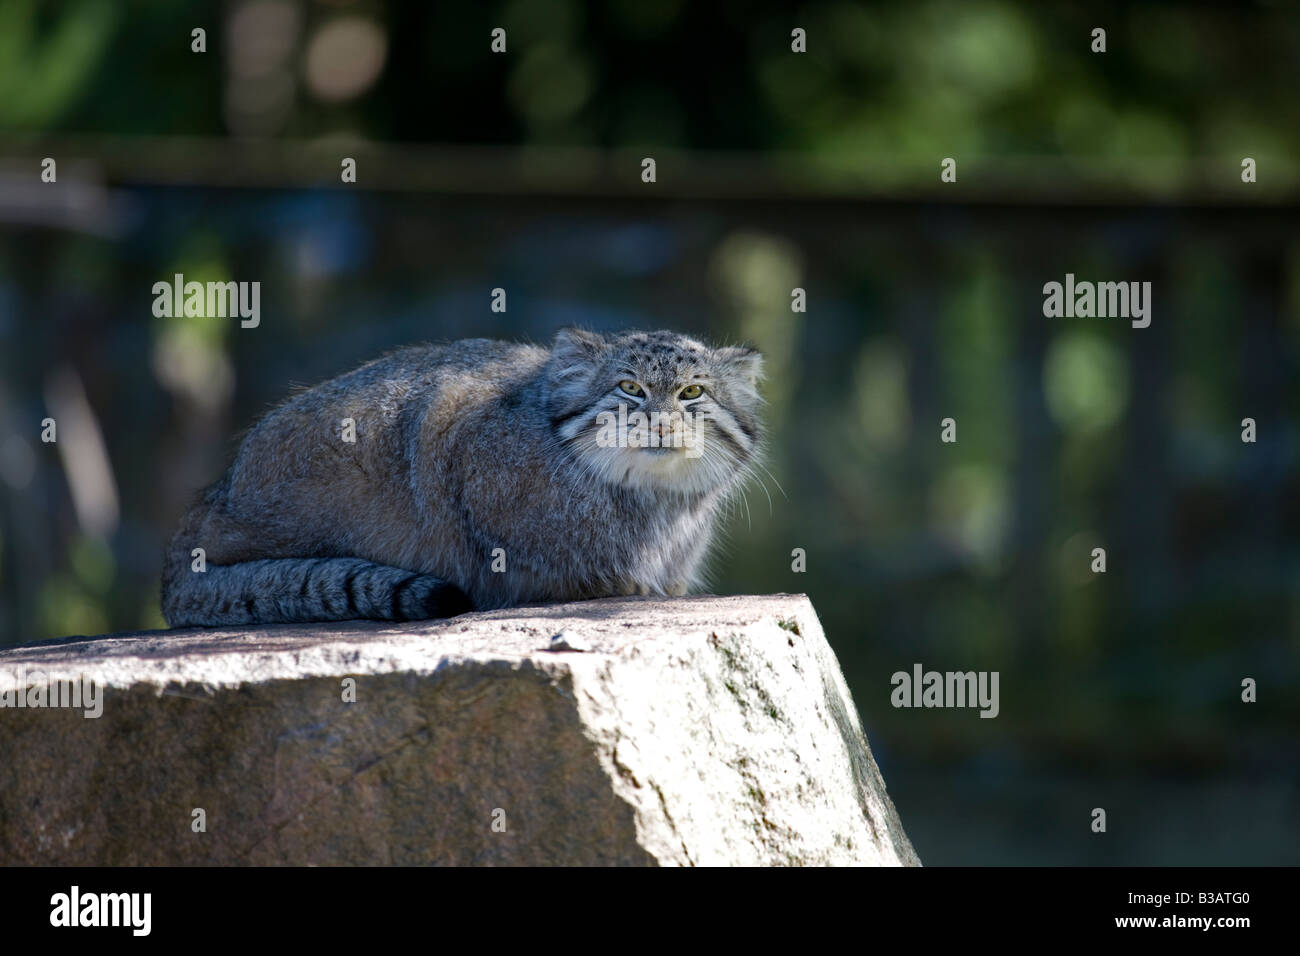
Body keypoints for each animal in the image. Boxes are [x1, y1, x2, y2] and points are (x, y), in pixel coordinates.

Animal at [161, 329, 759, 629]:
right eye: (630, 388)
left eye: (692, 393)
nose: (661, 421)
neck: (649, 499)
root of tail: (208, 502)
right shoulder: (453, 427)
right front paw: (610, 582)